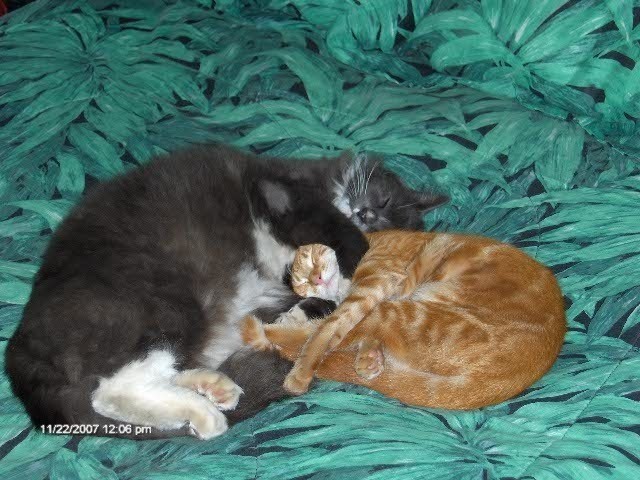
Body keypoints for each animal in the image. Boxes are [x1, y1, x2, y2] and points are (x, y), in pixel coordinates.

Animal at [6, 145, 444, 438]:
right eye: (382, 202)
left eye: (384, 213)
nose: (366, 214)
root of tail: (21, 355)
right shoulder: (283, 194)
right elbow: (342, 238)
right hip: (161, 303)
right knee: (111, 388)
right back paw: (207, 413)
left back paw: (214, 391)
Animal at [242, 232, 568, 408]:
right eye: (300, 281)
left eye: (311, 259)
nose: (317, 280)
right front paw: (369, 360)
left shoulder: (372, 290)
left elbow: (325, 331)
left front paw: (299, 374)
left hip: (403, 312)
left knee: (298, 338)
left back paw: (257, 332)